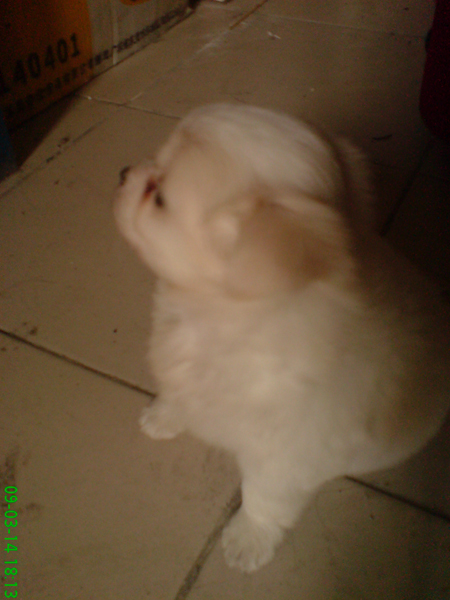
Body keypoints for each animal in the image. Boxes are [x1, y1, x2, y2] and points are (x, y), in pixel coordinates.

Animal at [113, 104, 450, 572]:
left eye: (159, 196)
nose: (124, 172)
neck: (218, 317)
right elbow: (179, 395)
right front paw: (163, 415)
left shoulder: (285, 461)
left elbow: (264, 499)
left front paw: (248, 539)